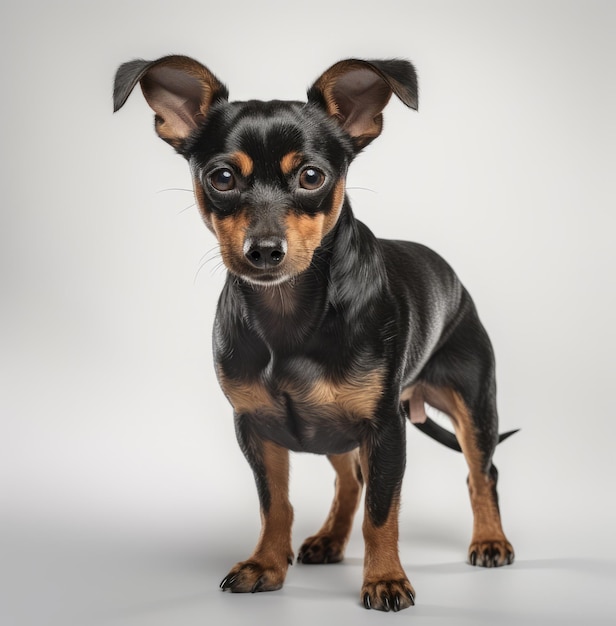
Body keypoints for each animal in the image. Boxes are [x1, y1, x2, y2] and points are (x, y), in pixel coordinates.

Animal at [112, 53, 516, 608]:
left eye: (310, 176)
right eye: (221, 178)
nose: (264, 250)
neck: (290, 312)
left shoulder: (384, 431)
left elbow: (382, 513)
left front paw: (385, 579)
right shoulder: (255, 428)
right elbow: (275, 505)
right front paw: (265, 564)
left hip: (472, 406)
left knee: (482, 473)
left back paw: (490, 540)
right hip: (333, 429)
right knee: (350, 482)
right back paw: (329, 539)